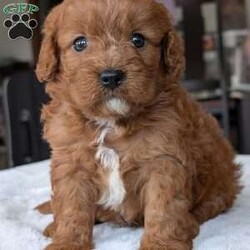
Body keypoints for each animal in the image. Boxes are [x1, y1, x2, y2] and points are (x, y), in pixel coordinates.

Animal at [36, 0, 241, 249]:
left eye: (138, 39)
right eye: (80, 43)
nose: (111, 76)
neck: (111, 122)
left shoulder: (164, 160)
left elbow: (163, 207)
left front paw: (162, 243)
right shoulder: (71, 163)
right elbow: (71, 207)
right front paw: (67, 241)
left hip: (222, 184)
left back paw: (191, 222)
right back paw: (54, 226)